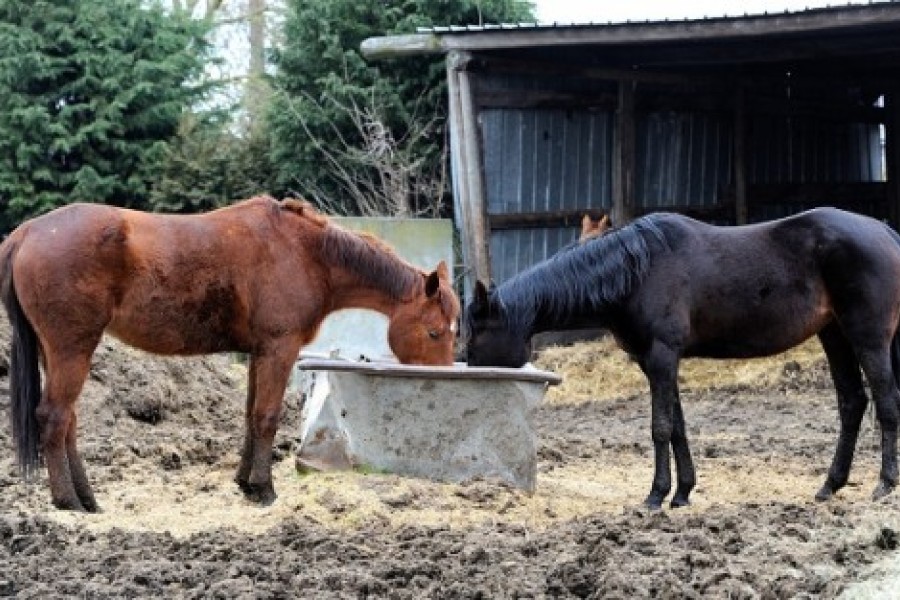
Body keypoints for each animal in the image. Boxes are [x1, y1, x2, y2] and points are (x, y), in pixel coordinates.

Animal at [0, 197, 460, 510]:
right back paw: (69, 502)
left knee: (67, 423)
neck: (305, 253)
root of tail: (26, 233)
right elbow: (267, 418)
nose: (441, 379)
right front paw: (265, 489)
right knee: (54, 418)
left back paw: (87, 498)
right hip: (71, 349)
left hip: (57, 352)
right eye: (435, 331)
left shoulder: (260, 353)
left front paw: (246, 484)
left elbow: (251, 416)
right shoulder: (279, 349)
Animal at [464, 209, 900, 508]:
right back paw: (829, 485)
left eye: (476, 331)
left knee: (886, 402)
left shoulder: (662, 355)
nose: (469, 369)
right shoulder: (655, 361)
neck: (636, 272)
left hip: (867, 338)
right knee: (852, 403)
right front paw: (683, 493)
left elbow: (660, 427)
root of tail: (884, 230)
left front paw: (656, 495)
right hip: (834, 335)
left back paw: (884, 484)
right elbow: (677, 426)